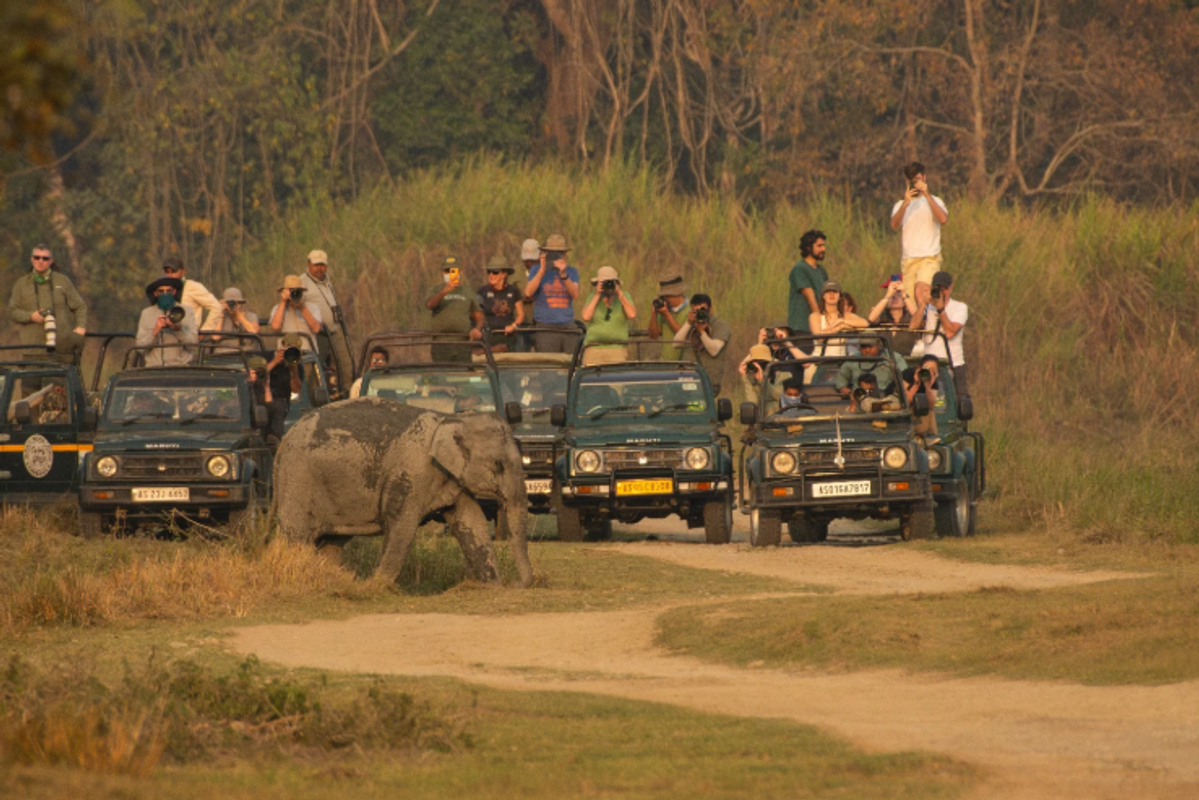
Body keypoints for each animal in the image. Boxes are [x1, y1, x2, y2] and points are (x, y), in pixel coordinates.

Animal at [273, 397, 532, 587]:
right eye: (498, 465)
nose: (520, 584)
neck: (453, 419)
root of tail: (282, 442)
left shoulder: (451, 478)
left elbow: (471, 522)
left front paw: (493, 587)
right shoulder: (410, 473)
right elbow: (401, 526)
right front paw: (376, 586)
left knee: (331, 542)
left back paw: (331, 579)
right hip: (297, 478)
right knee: (296, 536)